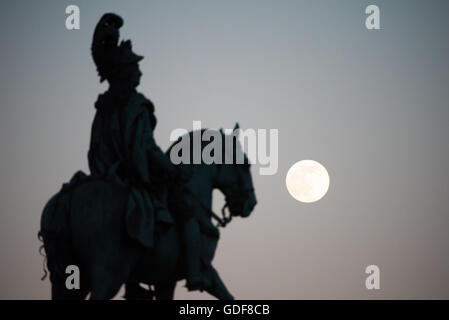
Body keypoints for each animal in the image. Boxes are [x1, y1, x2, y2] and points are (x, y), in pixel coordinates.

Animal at [40, 125, 258, 300]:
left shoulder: (165, 280)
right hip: (108, 277)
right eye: (245, 164)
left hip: (67, 280)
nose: (251, 203)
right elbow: (227, 295)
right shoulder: (201, 271)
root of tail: (70, 195)